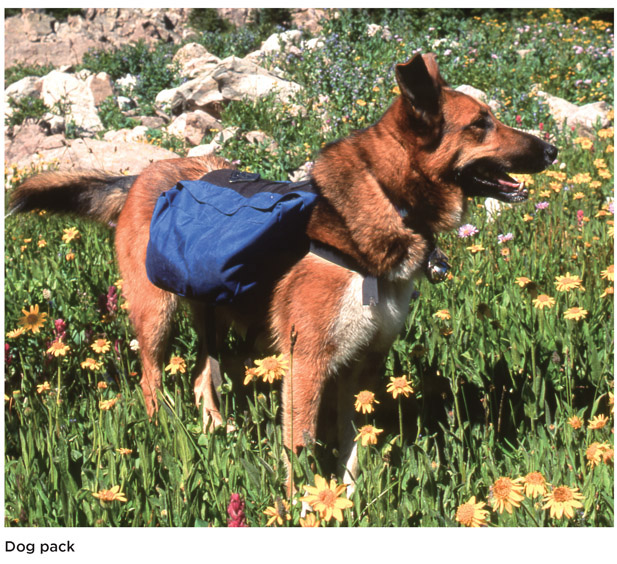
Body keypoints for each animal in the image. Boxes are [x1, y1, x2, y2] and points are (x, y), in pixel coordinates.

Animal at [9, 55, 560, 486]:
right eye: (481, 124)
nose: (553, 150)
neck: (389, 201)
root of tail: (142, 174)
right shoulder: (307, 362)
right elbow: (300, 444)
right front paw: (303, 506)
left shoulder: (363, 365)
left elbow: (352, 448)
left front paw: (346, 501)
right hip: (156, 314)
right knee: (150, 381)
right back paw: (162, 433)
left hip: (211, 314)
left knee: (202, 378)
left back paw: (215, 430)